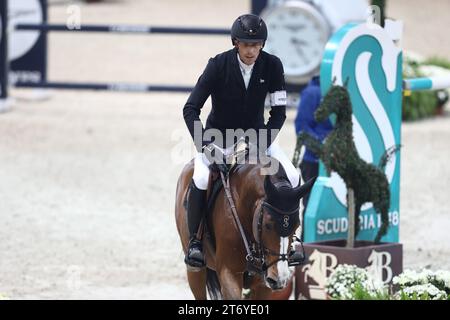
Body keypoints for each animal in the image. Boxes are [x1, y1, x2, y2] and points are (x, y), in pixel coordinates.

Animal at [174, 150, 314, 300]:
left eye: (297, 226)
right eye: (267, 225)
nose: (280, 280)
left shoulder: (263, 283)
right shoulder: (229, 274)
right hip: (195, 270)